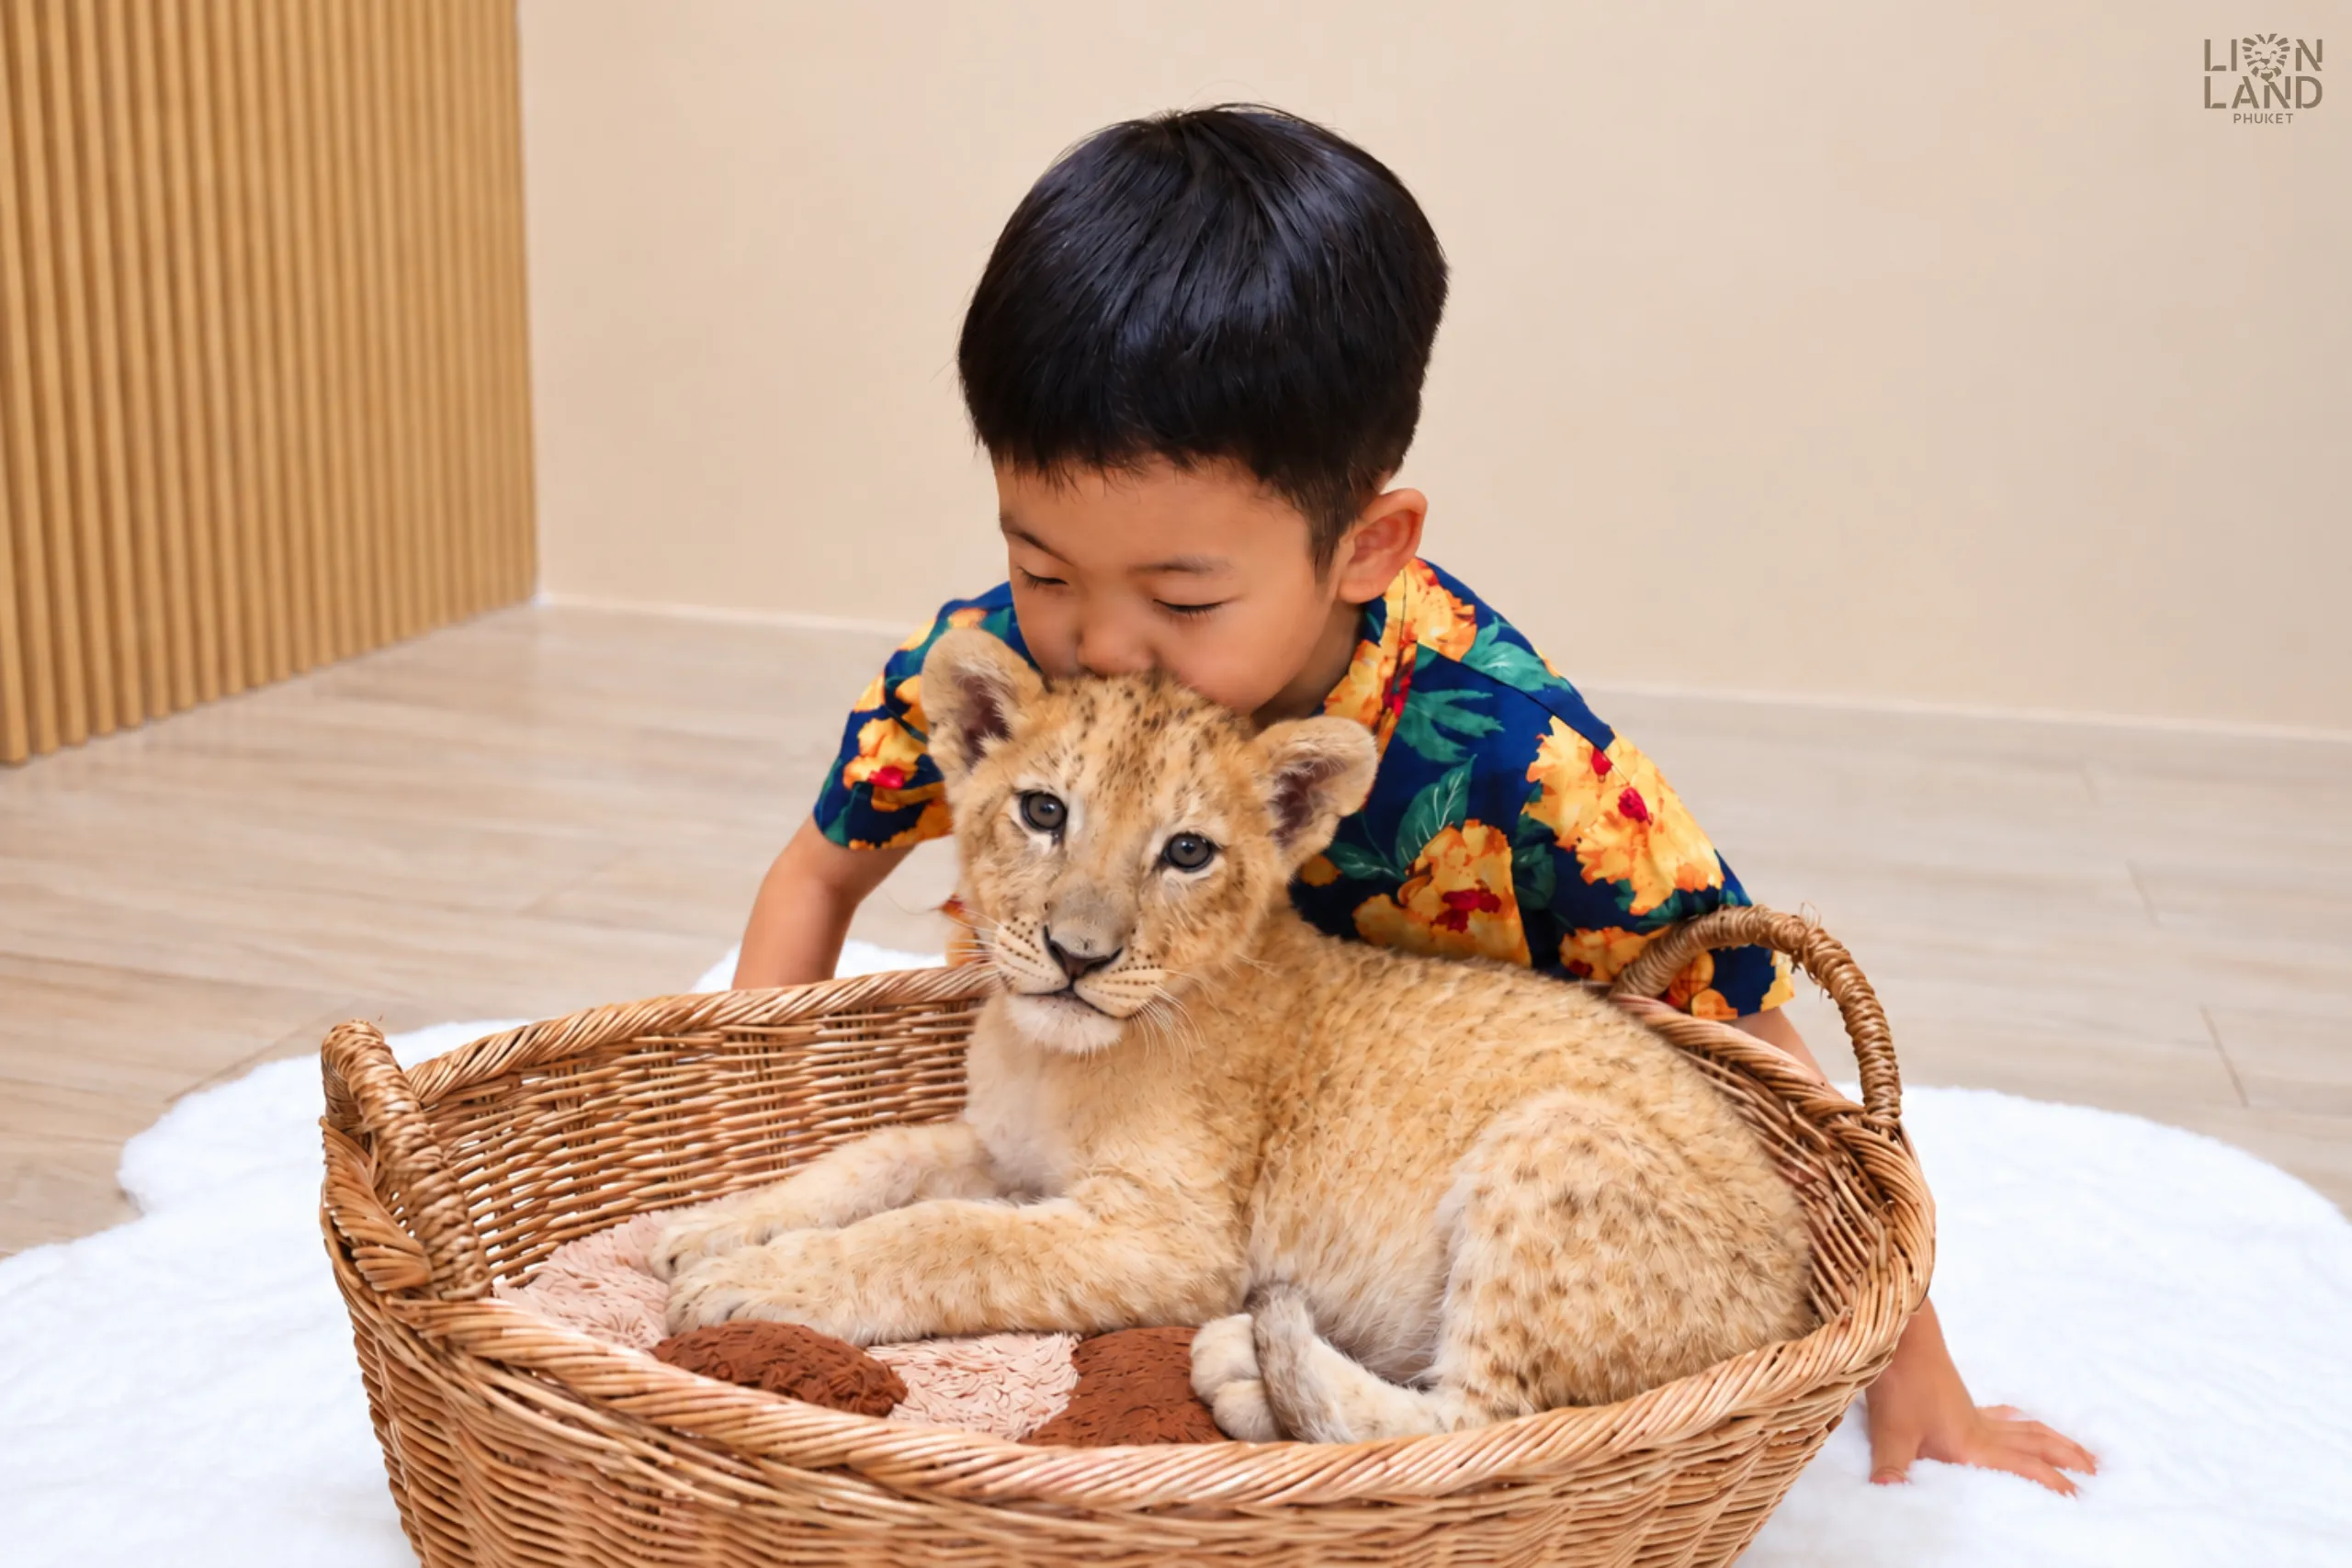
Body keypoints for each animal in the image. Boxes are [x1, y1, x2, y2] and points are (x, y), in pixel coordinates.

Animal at [654, 629, 1812, 1441]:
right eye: (1041, 811)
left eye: (1186, 852)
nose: (1077, 955)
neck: (1058, 1057)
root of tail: (1794, 1297)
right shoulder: (1007, 1153)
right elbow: (878, 1158)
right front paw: (706, 1226)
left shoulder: (1173, 1240)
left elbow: (944, 1236)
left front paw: (761, 1290)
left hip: (1553, 1139)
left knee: (1477, 1421)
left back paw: (1243, 1372)